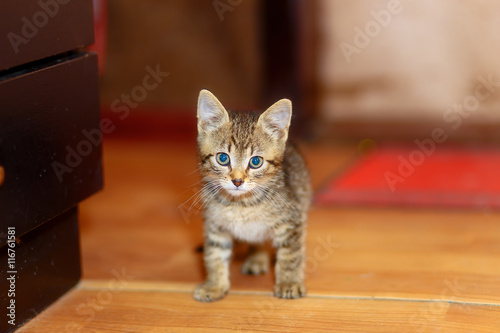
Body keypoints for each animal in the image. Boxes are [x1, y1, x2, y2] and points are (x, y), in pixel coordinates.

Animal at [193, 89, 310, 300]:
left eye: (256, 162)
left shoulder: (292, 220)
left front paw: (289, 282)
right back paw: (256, 258)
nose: (237, 181)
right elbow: (214, 255)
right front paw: (215, 285)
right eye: (223, 158)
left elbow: (290, 254)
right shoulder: (215, 225)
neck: (241, 204)